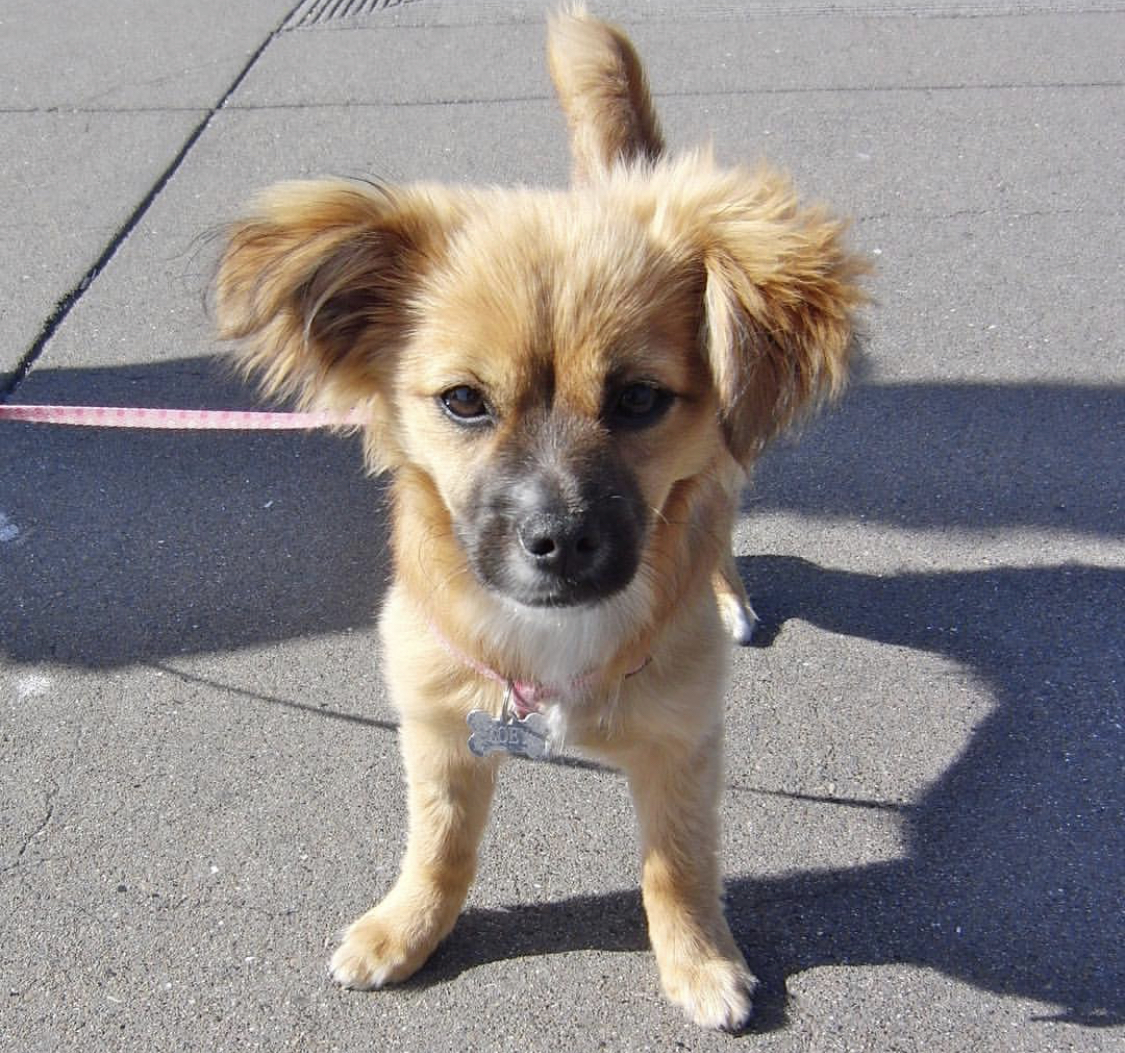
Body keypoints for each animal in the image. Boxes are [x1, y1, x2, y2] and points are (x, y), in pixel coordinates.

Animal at [214, 6, 864, 1030]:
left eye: (638, 398)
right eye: (463, 401)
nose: (557, 541)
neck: (551, 645)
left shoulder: (684, 741)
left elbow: (677, 864)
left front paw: (698, 958)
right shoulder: (439, 721)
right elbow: (438, 843)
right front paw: (407, 926)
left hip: (729, 479)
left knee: (724, 526)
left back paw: (731, 595)